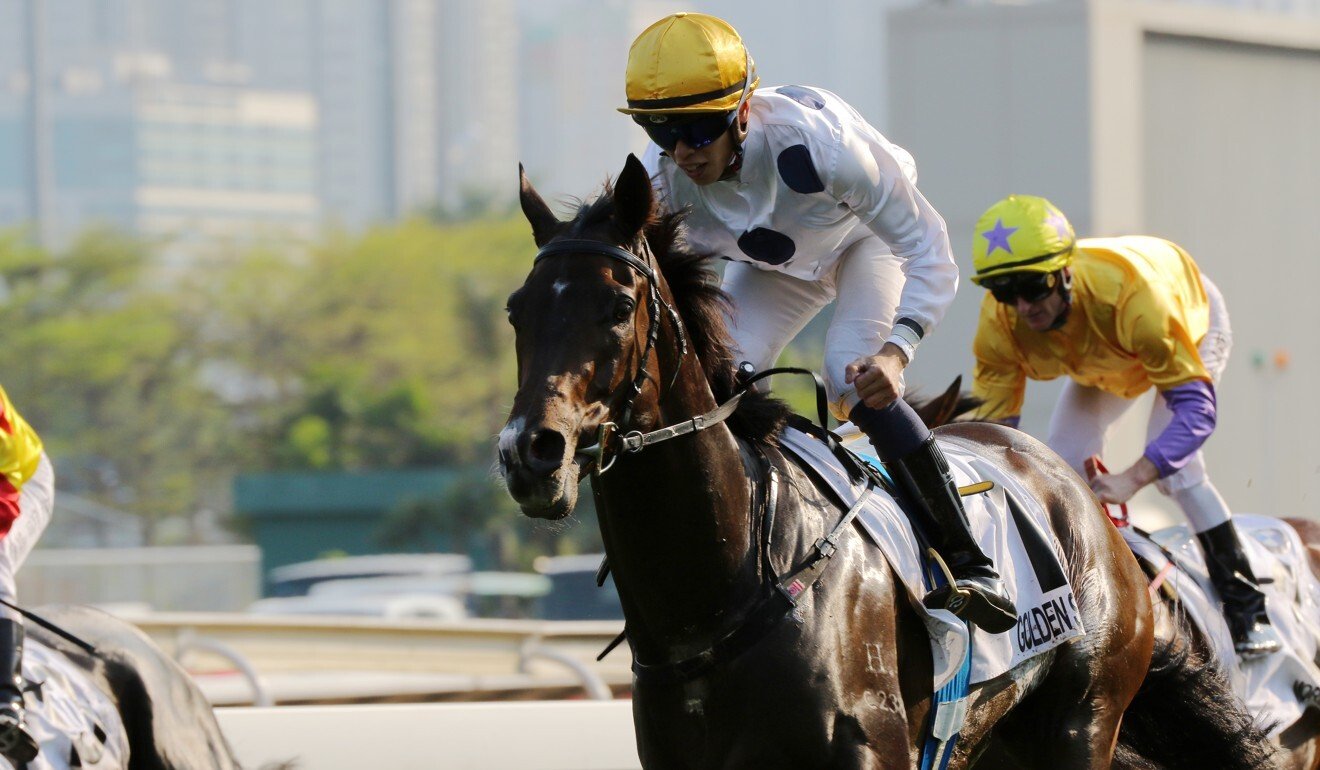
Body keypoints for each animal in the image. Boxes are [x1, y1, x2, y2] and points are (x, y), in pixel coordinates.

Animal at [496, 153, 1277, 766]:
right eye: (516, 310)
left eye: (618, 305)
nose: (531, 452)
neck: (719, 590)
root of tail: (1076, 493)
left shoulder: (872, 749)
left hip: (1083, 721)